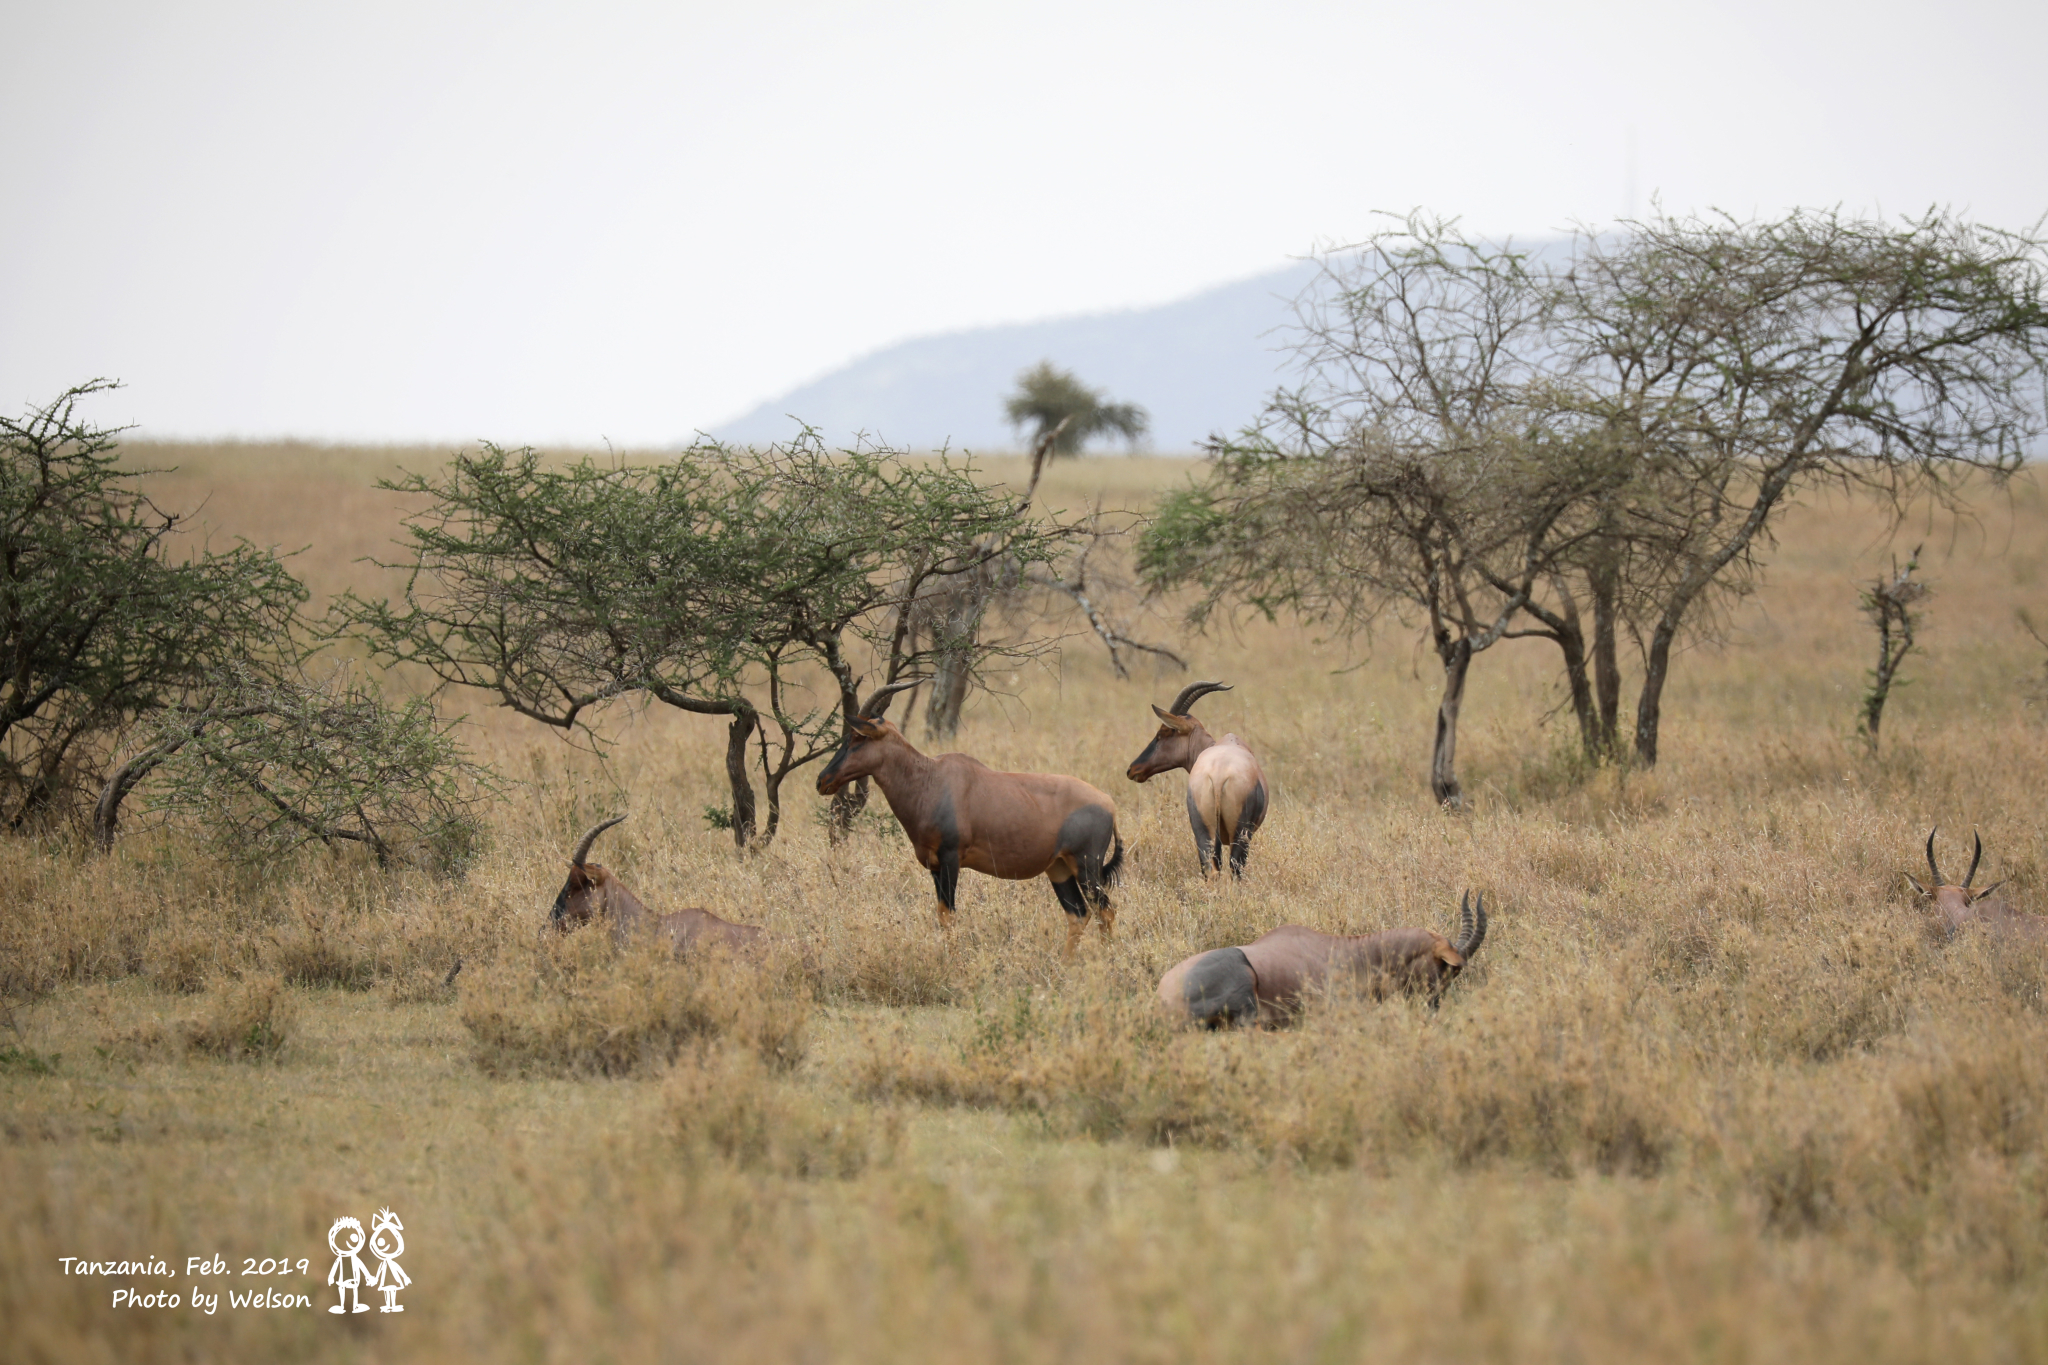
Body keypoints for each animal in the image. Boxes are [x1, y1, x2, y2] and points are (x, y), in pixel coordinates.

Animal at [811, 683, 1130, 961]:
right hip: (1059, 868)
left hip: (1087, 867)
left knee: (1105, 911)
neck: (931, 779)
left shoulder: (951, 859)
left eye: (858, 738)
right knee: (1079, 914)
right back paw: (1066, 966)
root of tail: (1108, 803)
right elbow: (942, 914)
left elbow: (948, 915)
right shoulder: (934, 866)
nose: (822, 781)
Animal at [1122, 679, 1261, 879]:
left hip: (1204, 830)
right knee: (1233, 869)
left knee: (1211, 869)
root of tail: (1218, 776)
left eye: (1162, 733)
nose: (1132, 769)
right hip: (1237, 834)